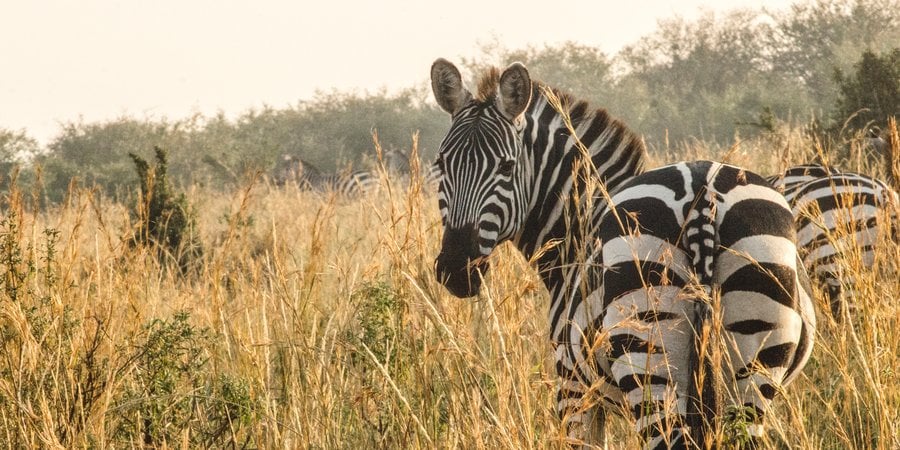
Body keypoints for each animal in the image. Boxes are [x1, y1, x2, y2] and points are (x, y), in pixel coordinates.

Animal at [430, 58, 815, 448]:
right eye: (441, 164)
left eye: (507, 167)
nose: (456, 268)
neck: (580, 226)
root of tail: (702, 192)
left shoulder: (574, 389)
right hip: (752, 364)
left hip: (648, 357)